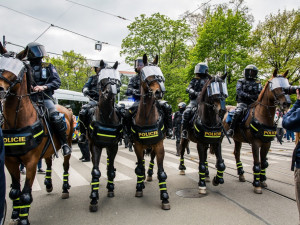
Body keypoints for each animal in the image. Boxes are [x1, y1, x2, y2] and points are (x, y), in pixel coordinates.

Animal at [0, 42, 72, 225]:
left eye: (17, 68)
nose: (0, 89)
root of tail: (66, 110)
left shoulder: (31, 161)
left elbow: (26, 194)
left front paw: (24, 219)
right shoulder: (10, 161)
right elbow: (14, 191)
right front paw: (15, 214)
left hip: (66, 143)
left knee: (65, 165)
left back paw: (65, 188)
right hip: (47, 150)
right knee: (48, 163)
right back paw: (48, 184)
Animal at [130, 54, 170, 209]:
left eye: (159, 72)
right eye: (144, 73)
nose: (159, 92)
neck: (147, 117)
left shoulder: (159, 146)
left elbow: (161, 172)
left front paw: (165, 197)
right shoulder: (137, 146)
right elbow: (140, 167)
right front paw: (139, 187)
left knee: (152, 158)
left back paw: (150, 173)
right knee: (140, 164)